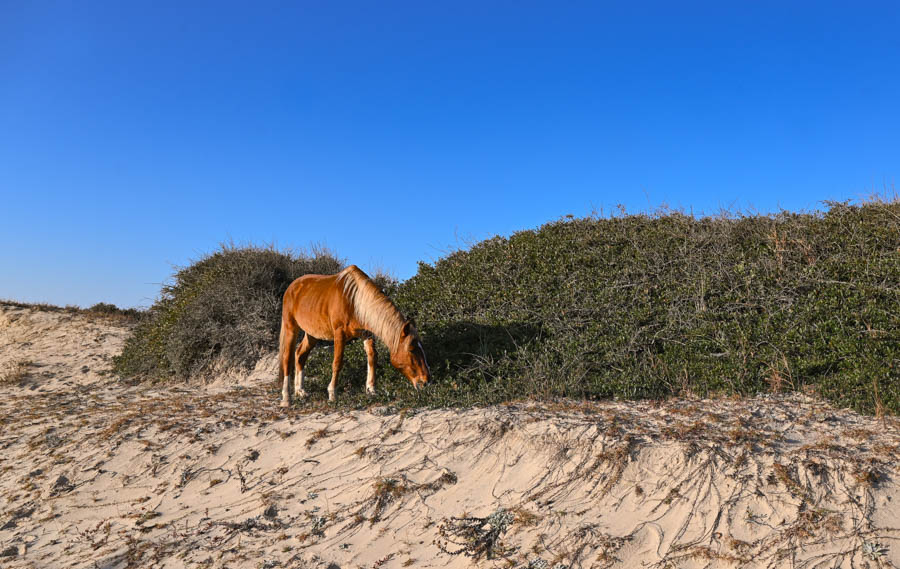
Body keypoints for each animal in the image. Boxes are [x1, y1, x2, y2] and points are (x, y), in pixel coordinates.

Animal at [277, 265, 430, 406]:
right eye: (411, 349)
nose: (426, 381)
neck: (354, 301)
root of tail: (292, 287)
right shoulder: (339, 334)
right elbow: (337, 362)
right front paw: (332, 394)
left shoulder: (367, 334)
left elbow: (372, 358)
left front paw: (371, 390)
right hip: (291, 327)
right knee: (287, 359)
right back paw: (286, 397)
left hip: (312, 334)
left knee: (300, 354)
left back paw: (300, 391)